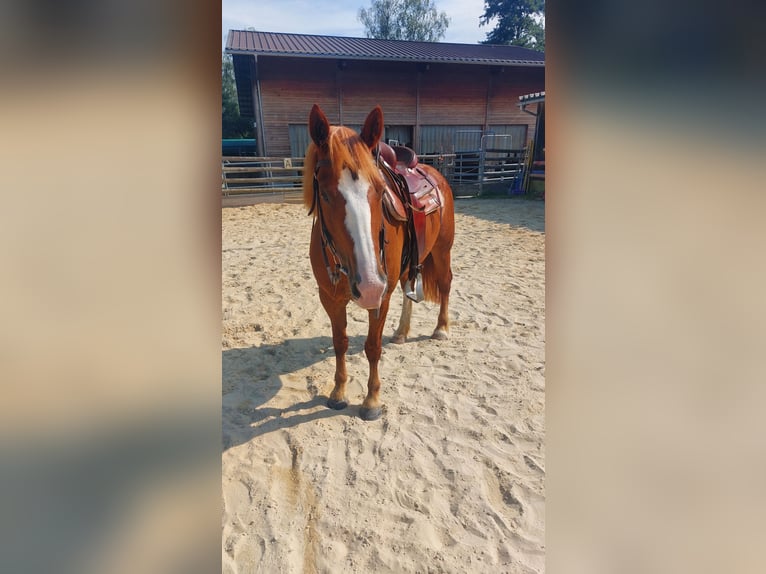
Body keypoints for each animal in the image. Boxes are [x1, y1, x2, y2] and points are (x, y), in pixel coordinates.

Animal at [303, 104, 454, 421]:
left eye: (380, 190)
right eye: (325, 194)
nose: (369, 286)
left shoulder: (381, 296)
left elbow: (372, 346)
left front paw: (371, 400)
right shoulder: (329, 298)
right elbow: (340, 342)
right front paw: (338, 392)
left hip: (442, 249)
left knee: (446, 283)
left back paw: (441, 329)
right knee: (409, 289)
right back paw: (401, 332)